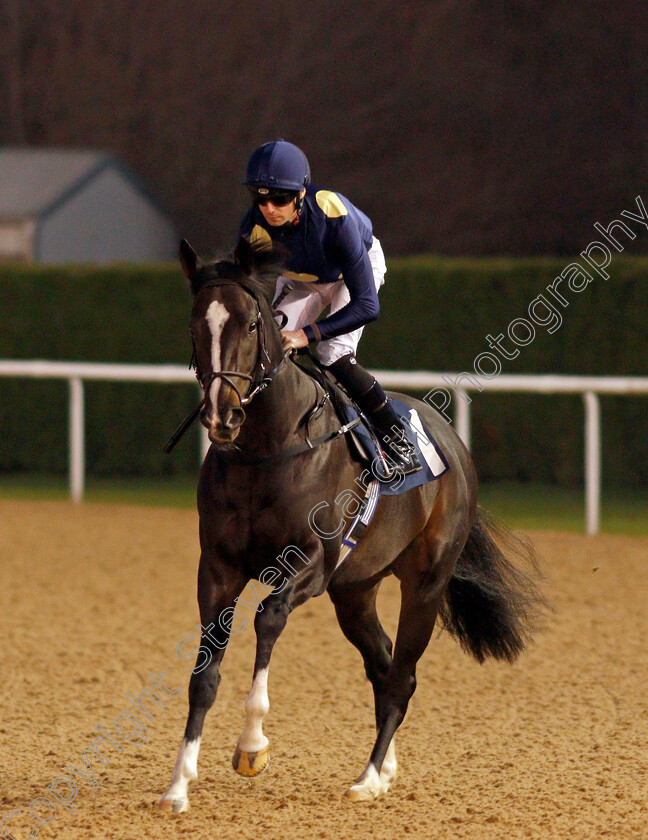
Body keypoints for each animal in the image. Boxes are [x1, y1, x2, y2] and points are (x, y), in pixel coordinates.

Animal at [157, 233, 540, 812]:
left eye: (250, 324)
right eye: (195, 325)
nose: (222, 416)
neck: (270, 448)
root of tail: (454, 443)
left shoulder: (312, 564)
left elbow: (267, 619)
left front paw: (252, 745)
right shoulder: (218, 569)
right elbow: (203, 673)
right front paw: (179, 784)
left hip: (425, 584)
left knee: (402, 676)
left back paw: (368, 776)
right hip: (355, 591)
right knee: (382, 665)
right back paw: (385, 769)